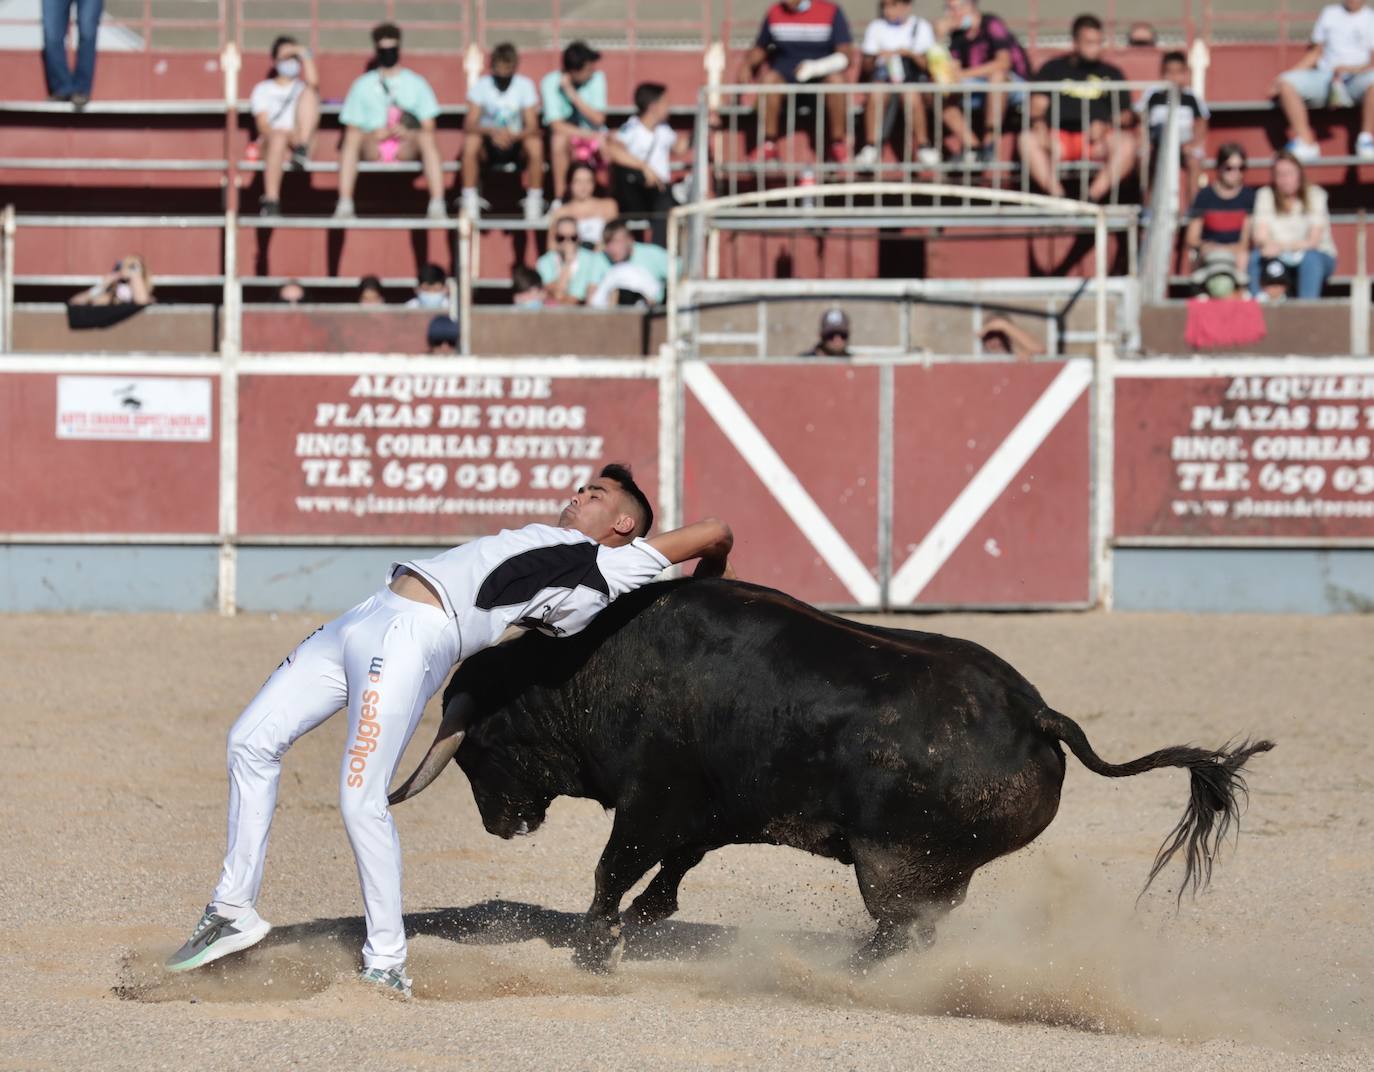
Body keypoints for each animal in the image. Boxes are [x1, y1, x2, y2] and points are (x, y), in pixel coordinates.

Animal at [392, 577, 1269, 973]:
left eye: (477, 746)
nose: (500, 822)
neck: (588, 669)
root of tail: (1037, 713)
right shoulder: (703, 816)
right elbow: (668, 879)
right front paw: (637, 928)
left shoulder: (651, 802)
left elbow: (614, 871)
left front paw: (593, 948)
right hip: (936, 870)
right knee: (921, 928)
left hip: (890, 864)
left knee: (896, 928)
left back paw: (845, 971)